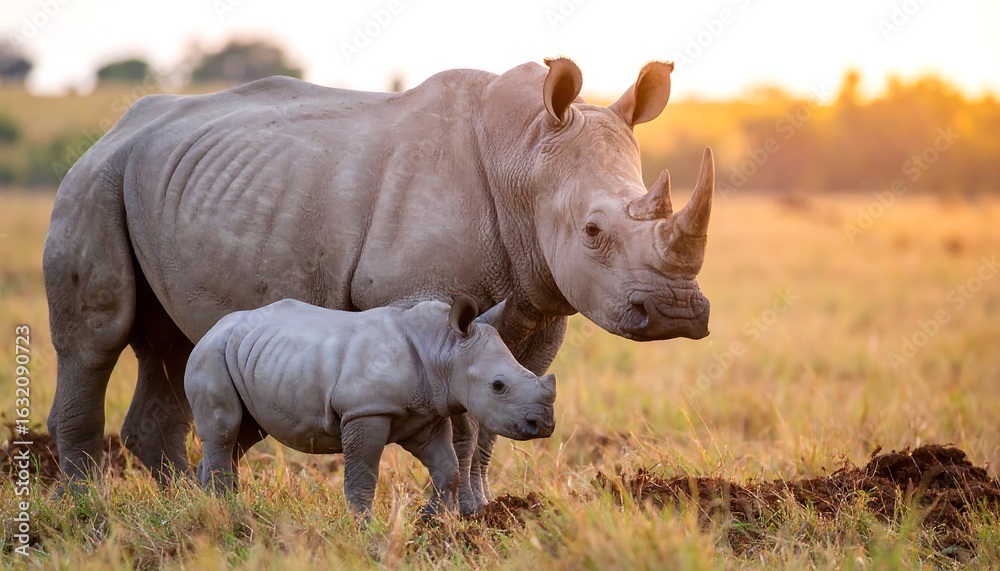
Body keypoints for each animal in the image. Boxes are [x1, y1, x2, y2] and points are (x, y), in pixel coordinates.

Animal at [187, 295, 555, 515]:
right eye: (498, 386)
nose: (544, 425)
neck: (443, 348)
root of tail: (212, 329)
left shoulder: (427, 414)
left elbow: (447, 468)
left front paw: (431, 520)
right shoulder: (366, 409)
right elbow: (363, 473)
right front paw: (361, 525)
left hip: (249, 354)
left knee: (244, 434)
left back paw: (213, 505)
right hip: (210, 353)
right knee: (226, 429)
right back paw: (226, 509)